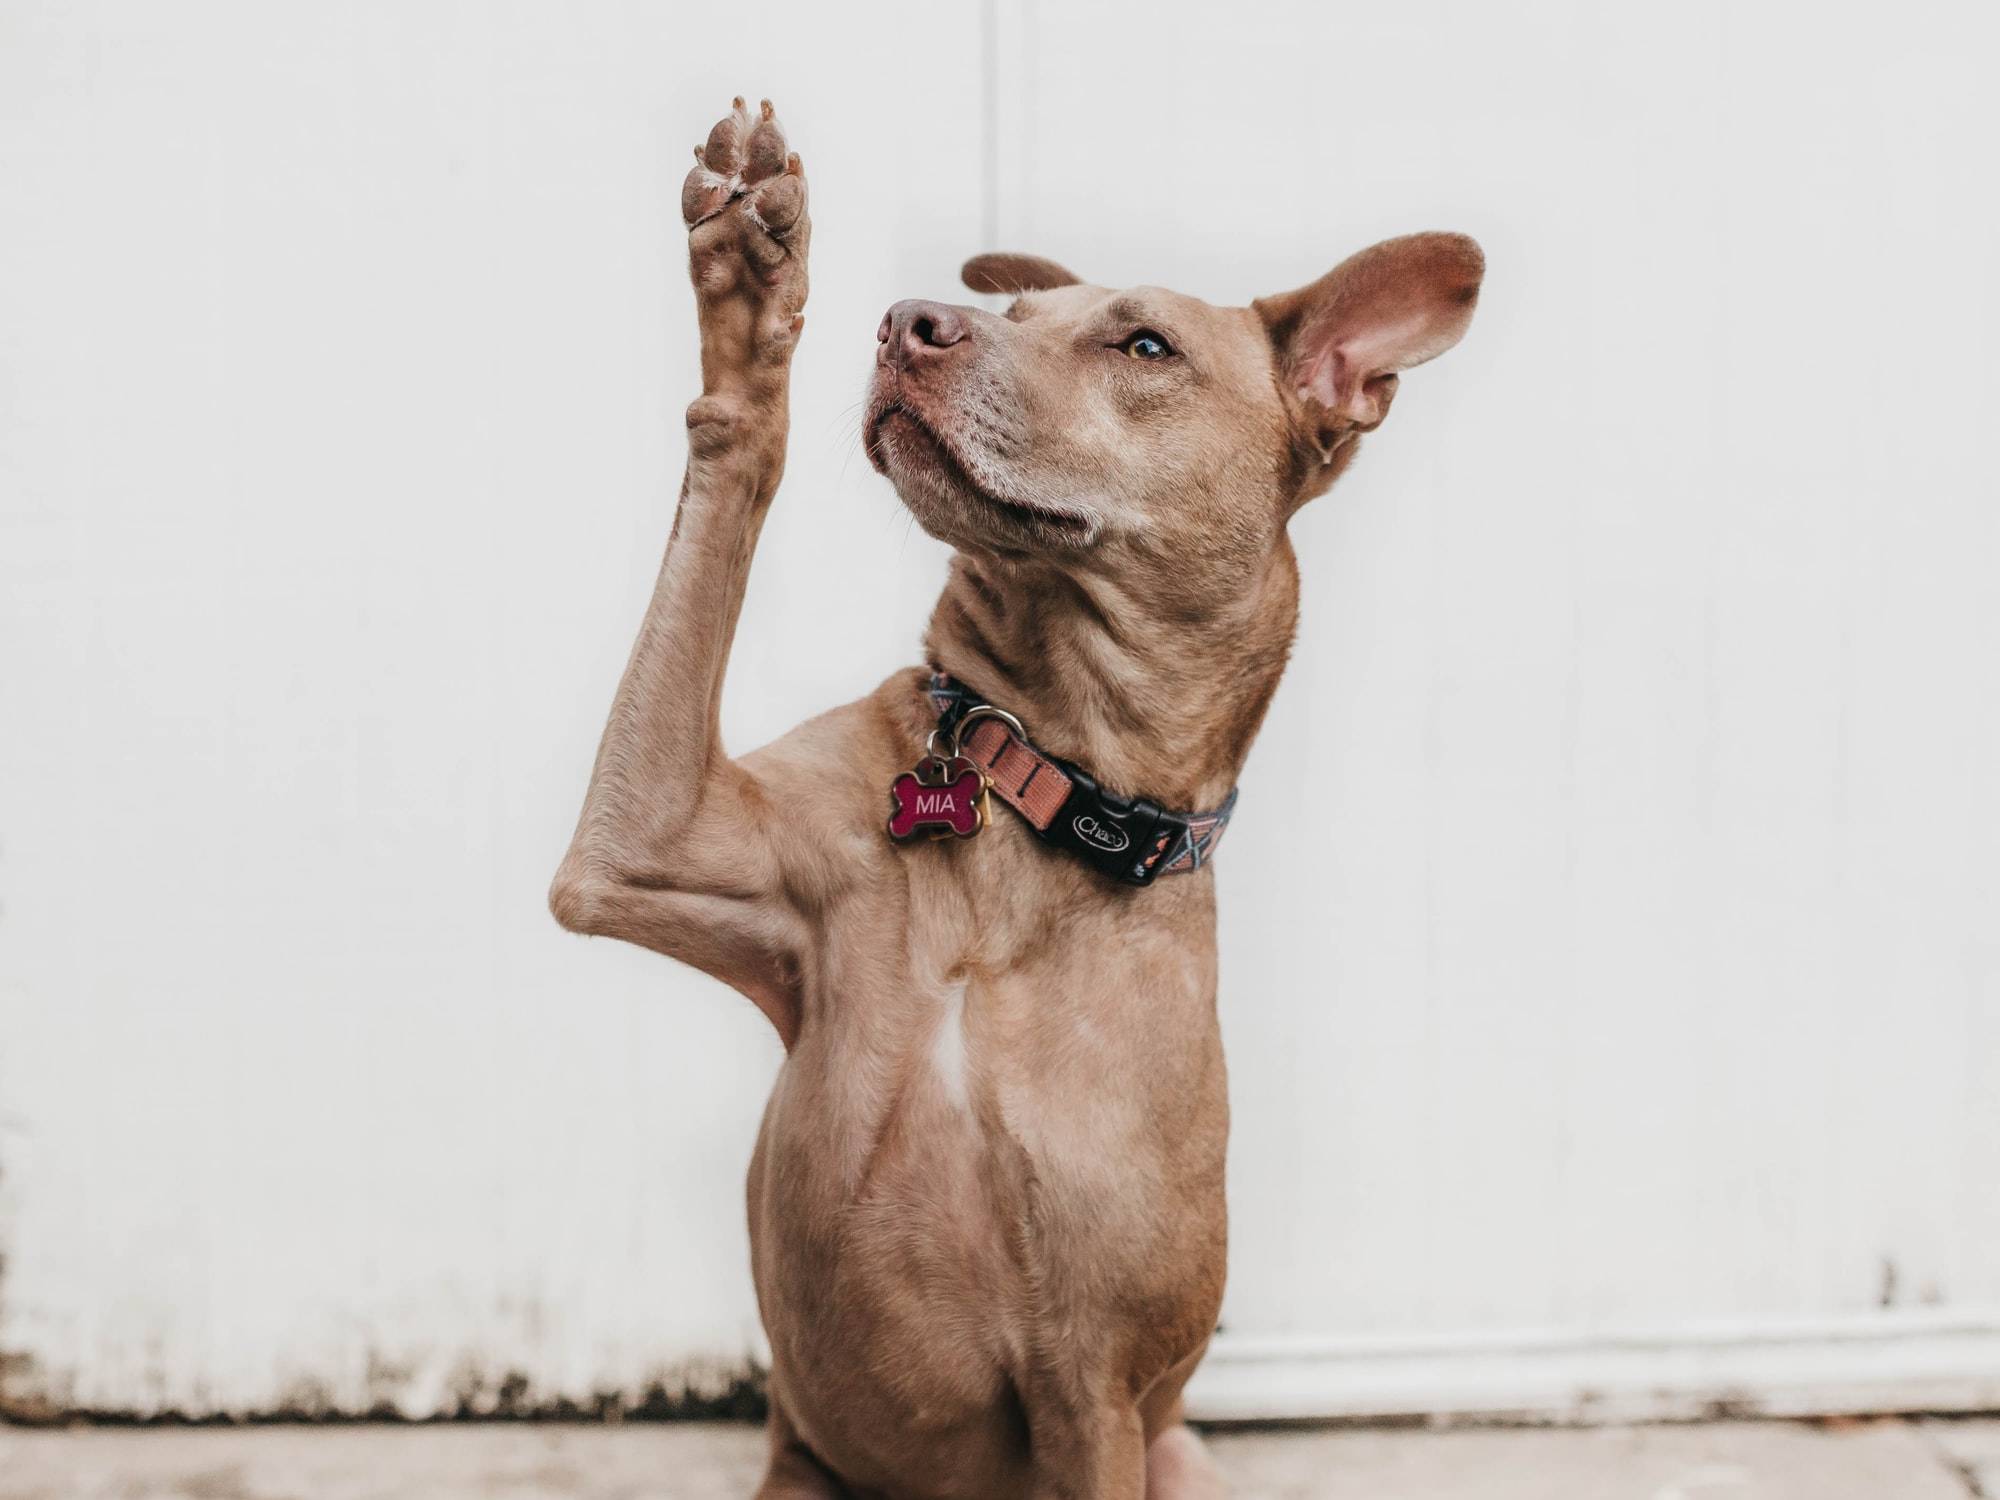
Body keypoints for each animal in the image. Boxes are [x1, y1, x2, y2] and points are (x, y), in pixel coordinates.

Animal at [556, 100, 1480, 1496]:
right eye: (1016, 314)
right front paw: (753, 290)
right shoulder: (637, 842)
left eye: (1142, 344)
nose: (906, 321)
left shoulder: (1092, 1395)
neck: (1032, 787)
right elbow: (730, 466)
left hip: (1171, 1455)